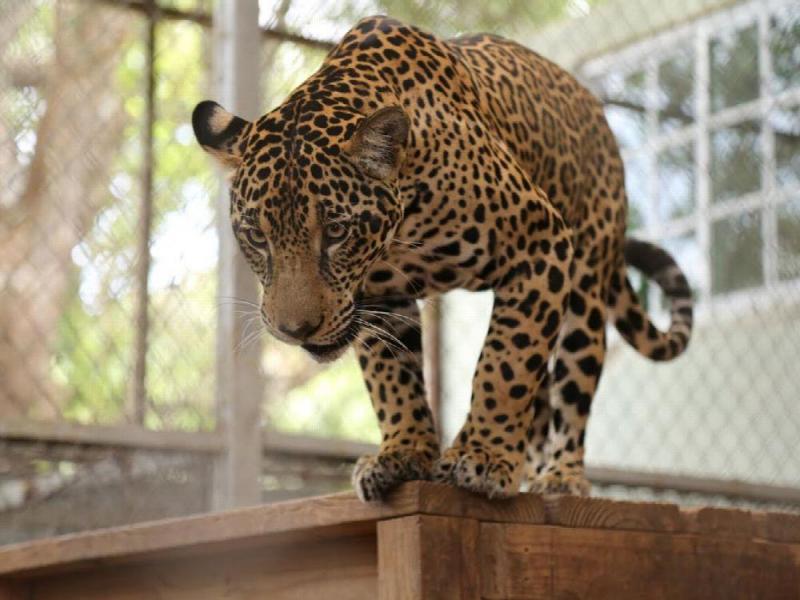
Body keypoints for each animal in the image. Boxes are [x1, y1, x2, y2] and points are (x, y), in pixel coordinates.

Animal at [192, 16, 693, 502]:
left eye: (335, 232)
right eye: (257, 236)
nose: (296, 330)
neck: (402, 228)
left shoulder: (540, 240)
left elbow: (507, 363)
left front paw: (483, 457)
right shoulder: (379, 298)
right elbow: (393, 376)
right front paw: (404, 452)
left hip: (585, 280)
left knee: (573, 384)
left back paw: (560, 477)